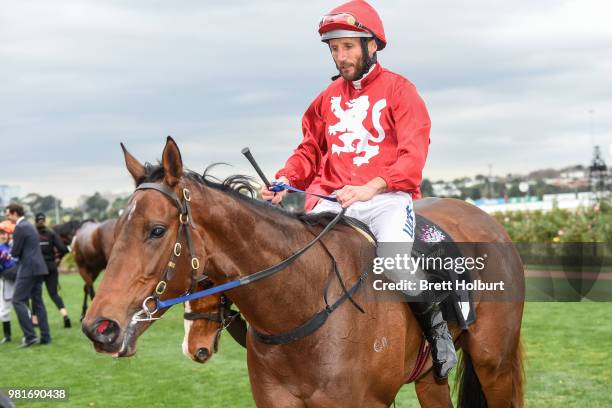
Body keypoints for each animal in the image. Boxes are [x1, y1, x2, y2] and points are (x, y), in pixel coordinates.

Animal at [82, 139, 524, 406]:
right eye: (116, 231)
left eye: (156, 230)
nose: (99, 328)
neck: (301, 304)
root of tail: (488, 219)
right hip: (431, 377)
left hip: (494, 364)